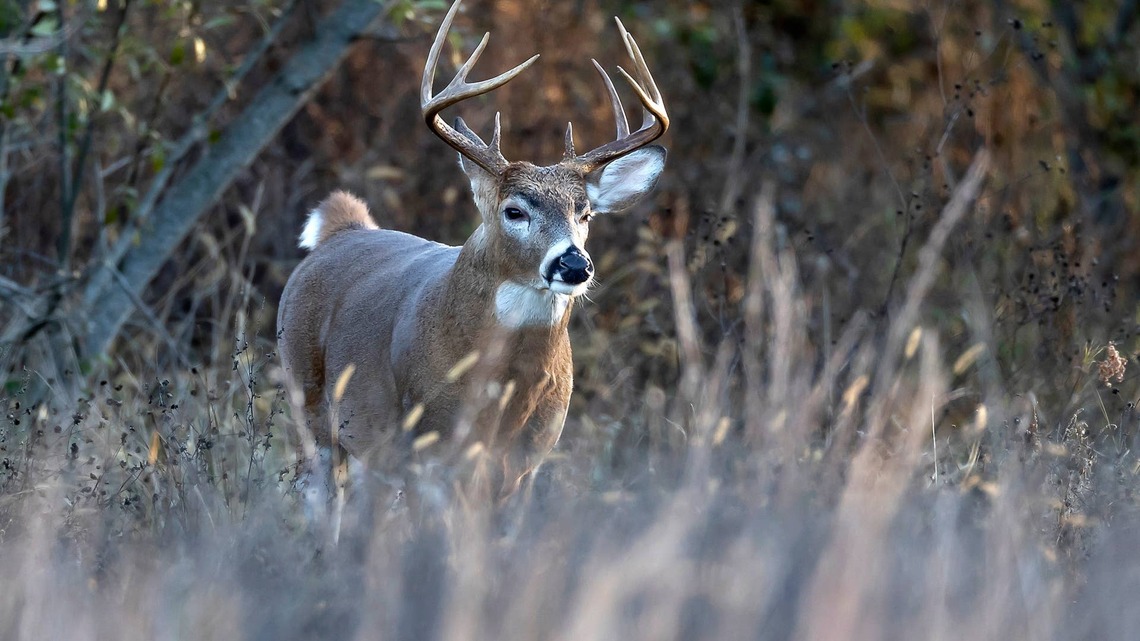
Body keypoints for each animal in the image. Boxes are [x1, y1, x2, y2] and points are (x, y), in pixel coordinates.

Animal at [277, 0, 668, 502]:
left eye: (585, 214)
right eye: (514, 210)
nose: (573, 264)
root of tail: (343, 229)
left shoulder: (527, 463)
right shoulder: (427, 449)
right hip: (309, 403)